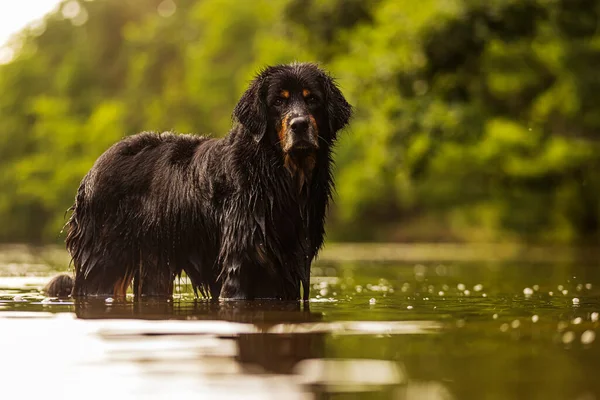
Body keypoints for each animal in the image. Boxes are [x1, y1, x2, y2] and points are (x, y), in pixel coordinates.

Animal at [45, 62, 352, 300]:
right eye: (278, 101)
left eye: (312, 99)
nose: (299, 124)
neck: (279, 177)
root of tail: (90, 173)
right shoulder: (242, 261)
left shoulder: (290, 264)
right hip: (104, 260)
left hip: (154, 263)